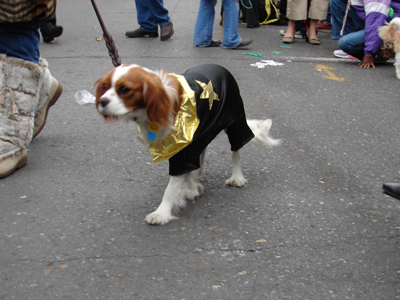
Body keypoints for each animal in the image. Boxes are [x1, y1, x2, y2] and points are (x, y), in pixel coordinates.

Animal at [95, 64, 280, 226]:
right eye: (105, 86)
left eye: (124, 89)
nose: (102, 102)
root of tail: (220, 67)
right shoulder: (183, 146)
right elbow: (187, 172)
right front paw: (192, 188)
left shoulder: (183, 149)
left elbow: (171, 187)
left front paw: (161, 213)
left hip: (235, 122)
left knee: (236, 153)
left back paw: (237, 177)